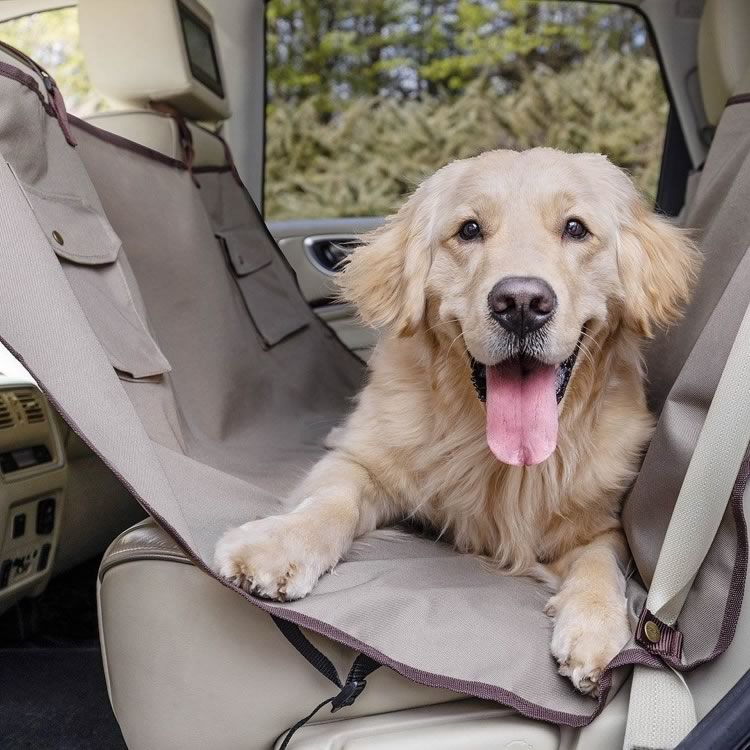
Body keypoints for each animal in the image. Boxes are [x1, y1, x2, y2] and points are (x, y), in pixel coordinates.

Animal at [214, 148, 704, 700]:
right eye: (469, 230)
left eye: (575, 228)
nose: (520, 303)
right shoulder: (366, 462)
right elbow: (331, 501)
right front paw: (278, 544)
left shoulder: (601, 520)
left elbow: (600, 563)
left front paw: (597, 626)